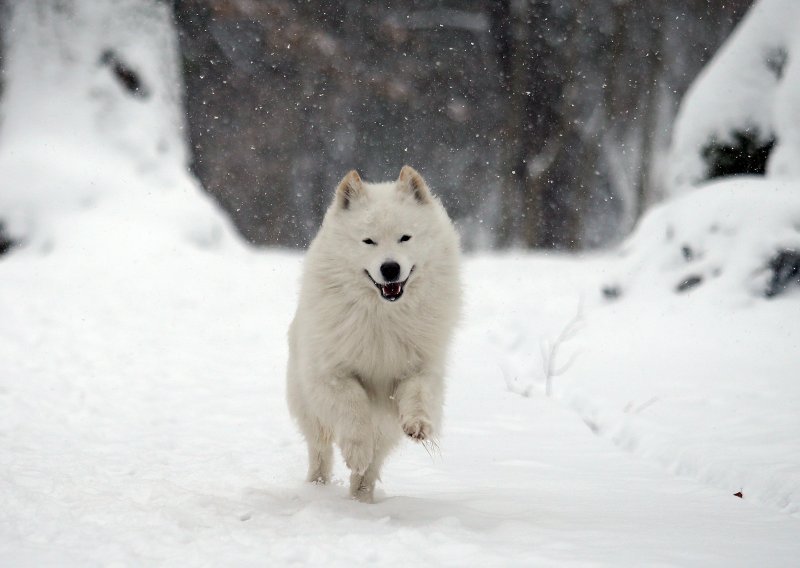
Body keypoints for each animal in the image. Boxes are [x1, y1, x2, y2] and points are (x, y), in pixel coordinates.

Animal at [288, 164, 462, 502]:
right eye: (368, 241)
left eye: (405, 237)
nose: (390, 268)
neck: (384, 314)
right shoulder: (331, 374)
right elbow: (353, 406)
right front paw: (356, 450)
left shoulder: (419, 367)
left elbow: (418, 394)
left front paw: (418, 424)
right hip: (309, 408)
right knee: (320, 450)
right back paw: (318, 486)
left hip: (385, 431)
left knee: (371, 467)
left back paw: (361, 500)